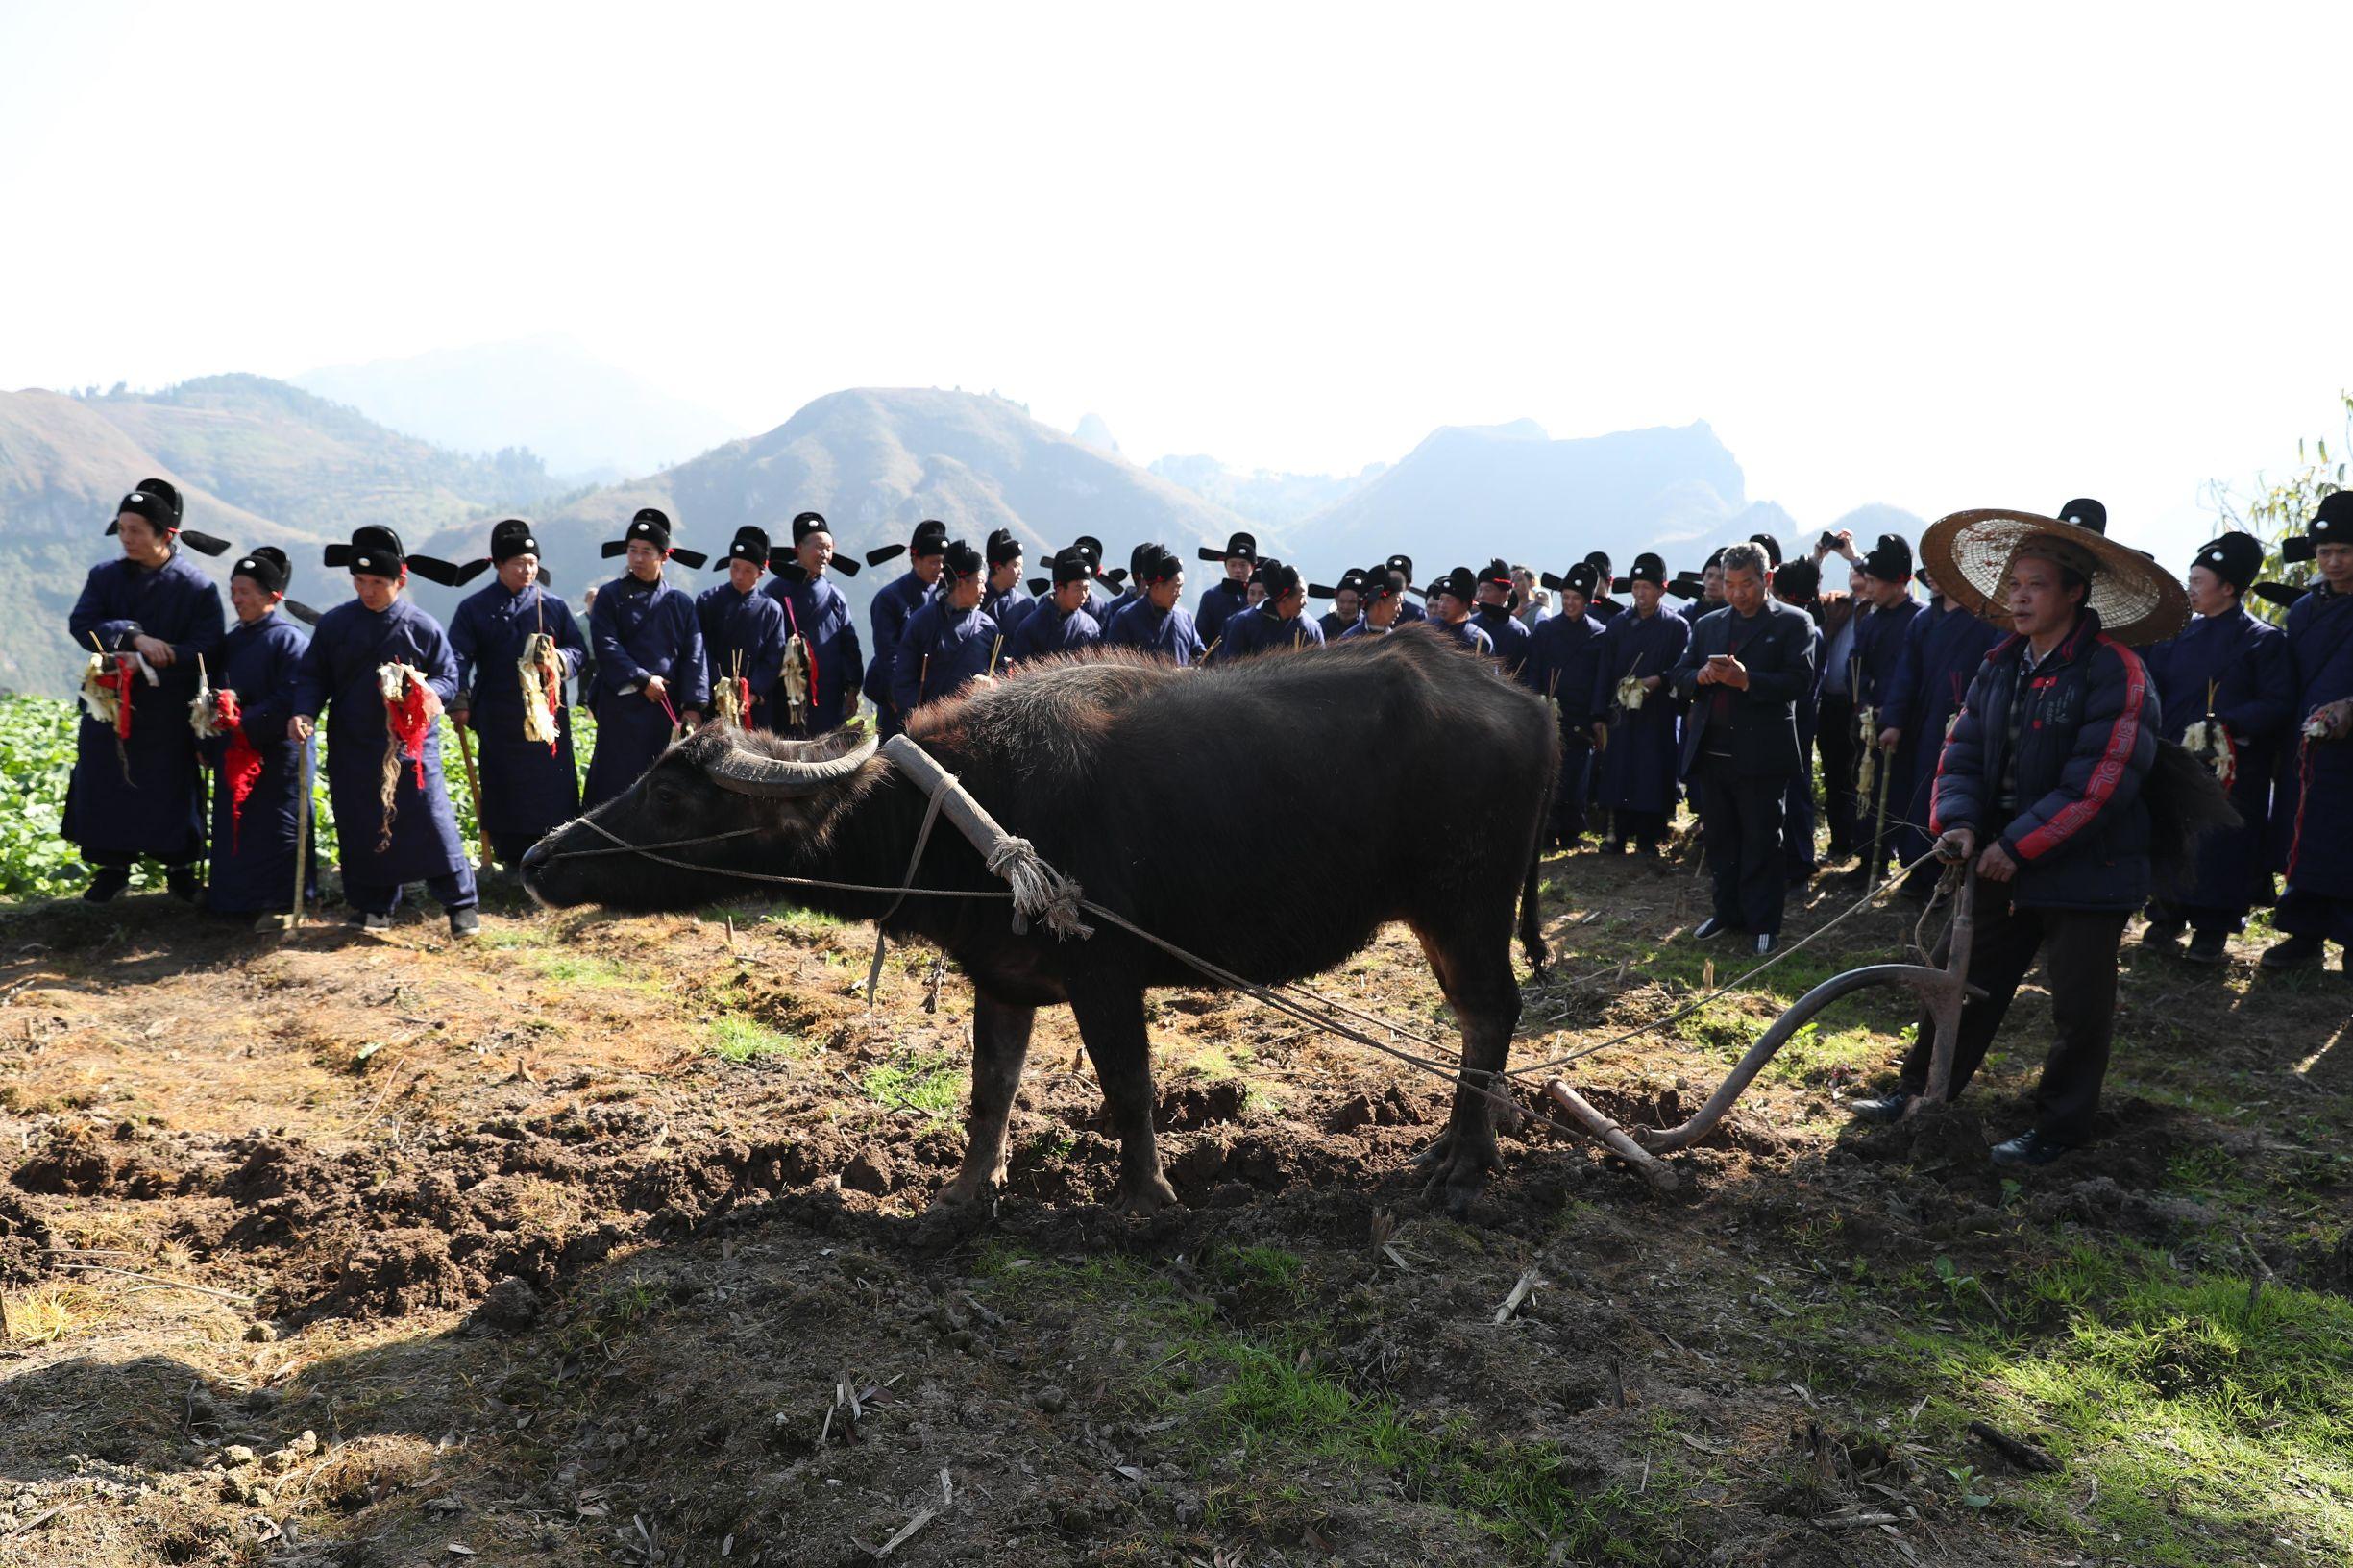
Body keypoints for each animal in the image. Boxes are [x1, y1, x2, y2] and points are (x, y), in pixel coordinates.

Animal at [529, 621, 1562, 1205]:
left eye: (671, 797)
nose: (541, 858)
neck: (967, 807)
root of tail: (1524, 699)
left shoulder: (1106, 973)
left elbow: (1128, 1089)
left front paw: (1145, 1200)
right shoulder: (1005, 977)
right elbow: (990, 1090)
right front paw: (963, 1196)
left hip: (1461, 907)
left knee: (1489, 1015)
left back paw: (1463, 1161)